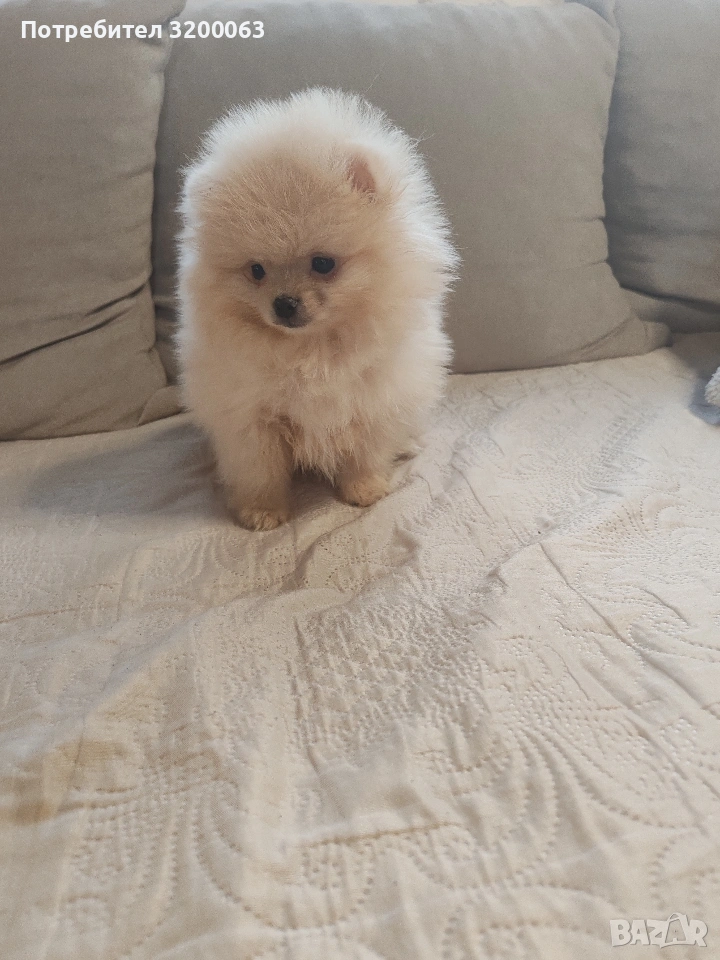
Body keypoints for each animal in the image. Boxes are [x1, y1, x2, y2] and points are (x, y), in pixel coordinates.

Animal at [176, 87, 458, 530]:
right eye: (256, 271)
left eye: (323, 263)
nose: (284, 303)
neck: (311, 350)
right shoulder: (250, 417)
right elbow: (259, 469)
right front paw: (262, 511)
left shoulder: (373, 398)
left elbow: (366, 450)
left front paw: (364, 489)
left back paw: (408, 443)